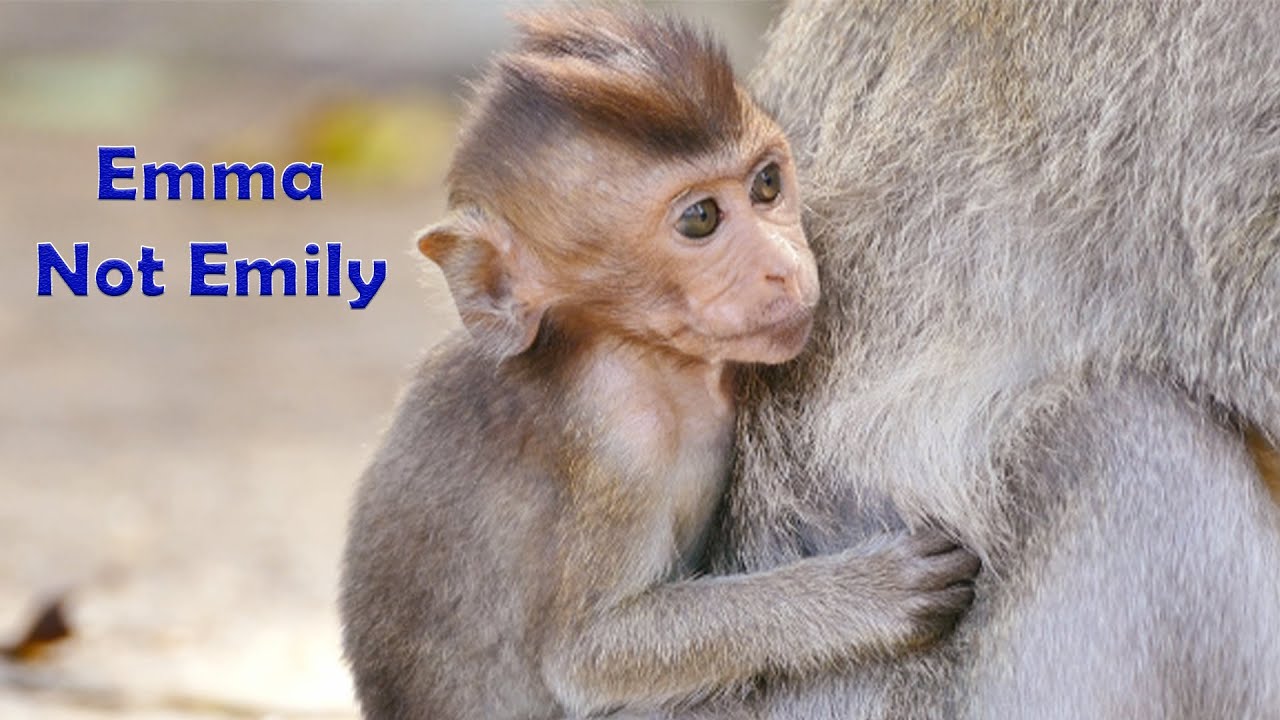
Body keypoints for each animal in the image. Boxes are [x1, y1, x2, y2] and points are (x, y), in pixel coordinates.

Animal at [339, 9, 981, 720]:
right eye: (701, 218)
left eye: (766, 184)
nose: (784, 266)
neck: (638, 351)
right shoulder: (620, 446)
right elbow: (590, 653)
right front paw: (863, 593)